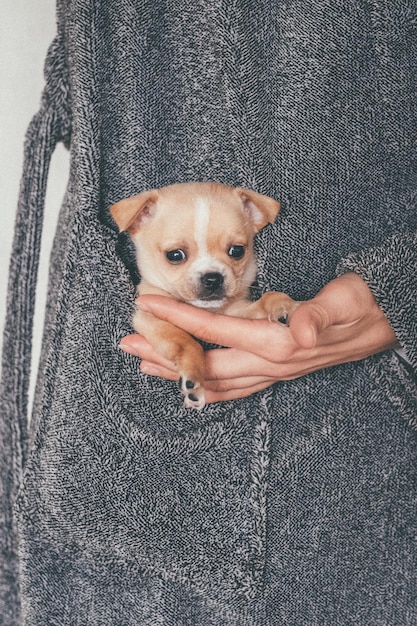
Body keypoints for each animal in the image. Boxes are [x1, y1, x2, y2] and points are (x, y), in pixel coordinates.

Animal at [112, 180, 298, 408]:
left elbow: (261, 302)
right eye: (175, 255)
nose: (212, 278)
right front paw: (194, 378)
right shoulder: (149, 316)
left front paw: (280, 303)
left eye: (237, 251)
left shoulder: (235, 312)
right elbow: (186, 341)